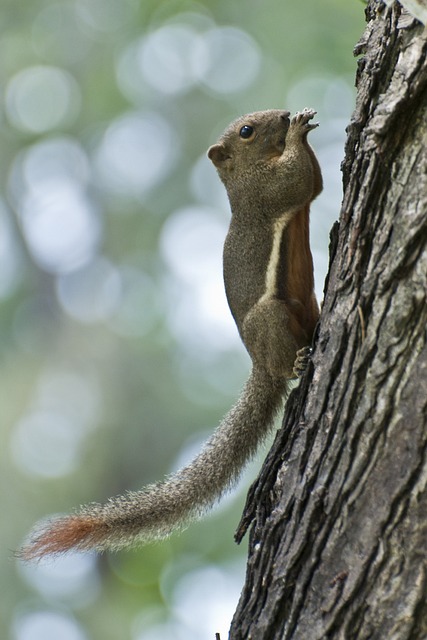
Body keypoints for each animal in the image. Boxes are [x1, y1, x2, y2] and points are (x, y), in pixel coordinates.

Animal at [20, 108, 322, 560]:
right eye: (246, 131)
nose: (283, 115)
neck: (242, 176)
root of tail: (257, 362)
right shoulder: (266, 192)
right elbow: (301, 181)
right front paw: (301, 132)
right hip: (270, 320)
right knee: (282, 364)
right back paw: (298, 361)